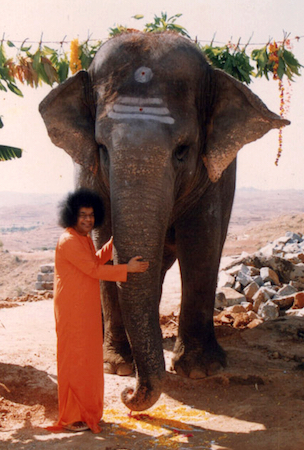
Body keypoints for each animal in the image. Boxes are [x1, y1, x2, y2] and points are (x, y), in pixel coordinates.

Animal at [38, 30, 290, 412]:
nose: (127, 396)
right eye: (102, 148)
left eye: (182, 150)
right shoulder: (87, 169)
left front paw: (201, 370)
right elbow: (100, 240)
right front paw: (116, 367)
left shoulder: (215, 175)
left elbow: (201, 241)